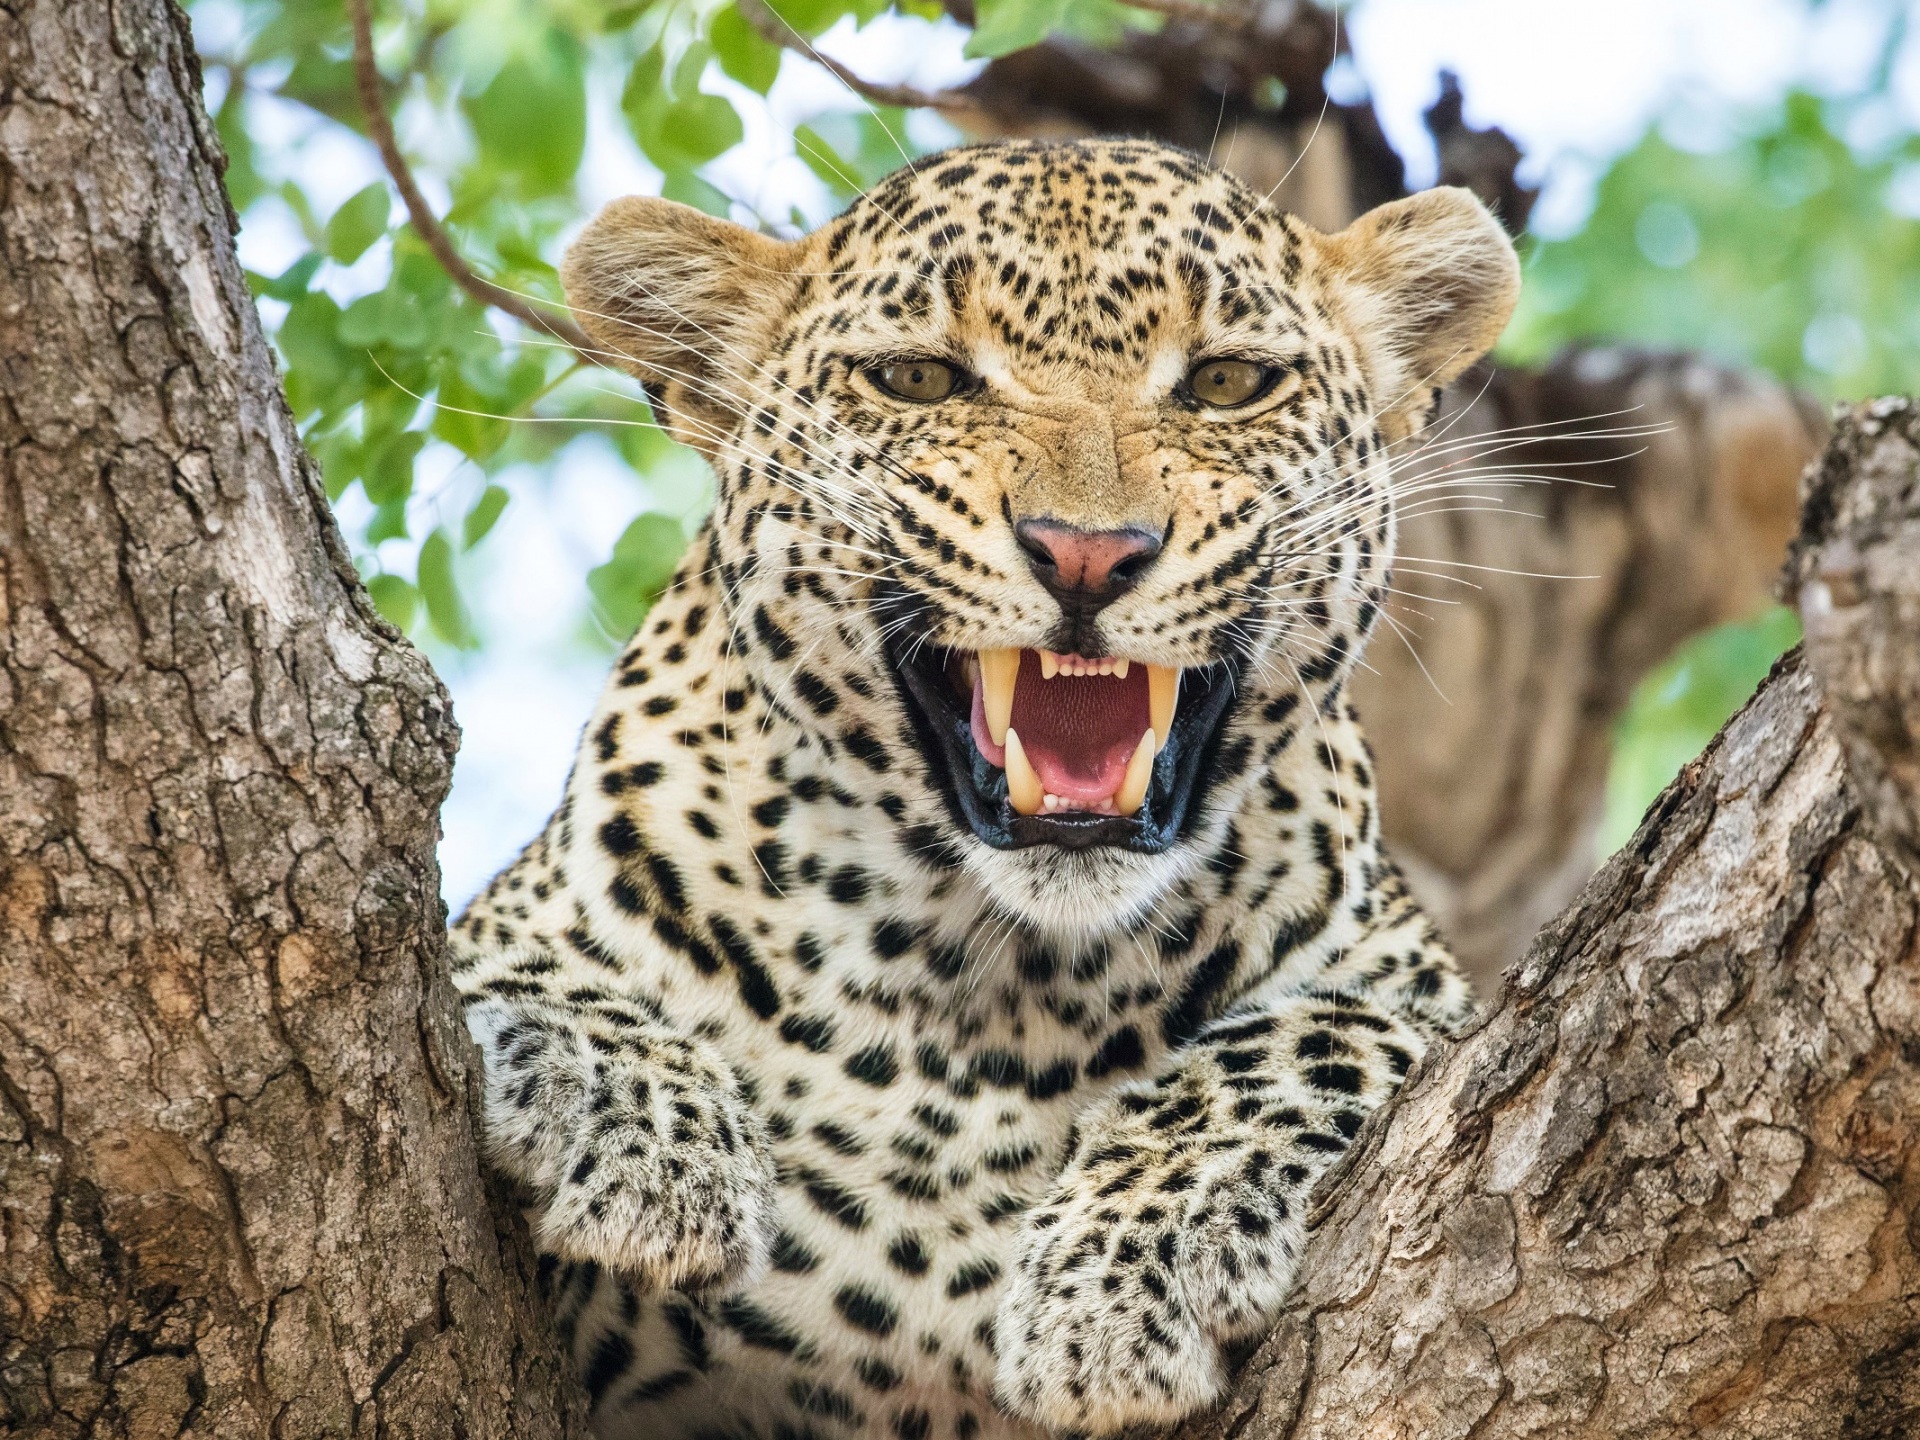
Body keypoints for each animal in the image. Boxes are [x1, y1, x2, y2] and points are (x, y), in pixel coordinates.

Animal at [449, 135, 1519, 1440]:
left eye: (1226, 384)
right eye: (917, 379)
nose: (1087, 553)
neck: (992, 997)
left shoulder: (1421, 996)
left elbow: (1327, 1032)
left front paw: (1121, 1274)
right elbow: (501, 973)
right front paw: (644, 1127)